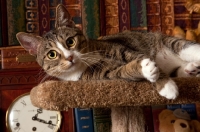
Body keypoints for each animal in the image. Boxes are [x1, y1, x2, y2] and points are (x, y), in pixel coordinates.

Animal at [16, 4, 200, 101]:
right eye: (52, 54)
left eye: (70, 41)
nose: (69, 58)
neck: (88, 60)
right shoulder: (101, 76)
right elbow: (122, 71)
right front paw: (145, 69)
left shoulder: (117, 48)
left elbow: (137, 55)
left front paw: (165, 84)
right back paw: (191, 69)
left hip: (169, 42)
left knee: (186, 47)